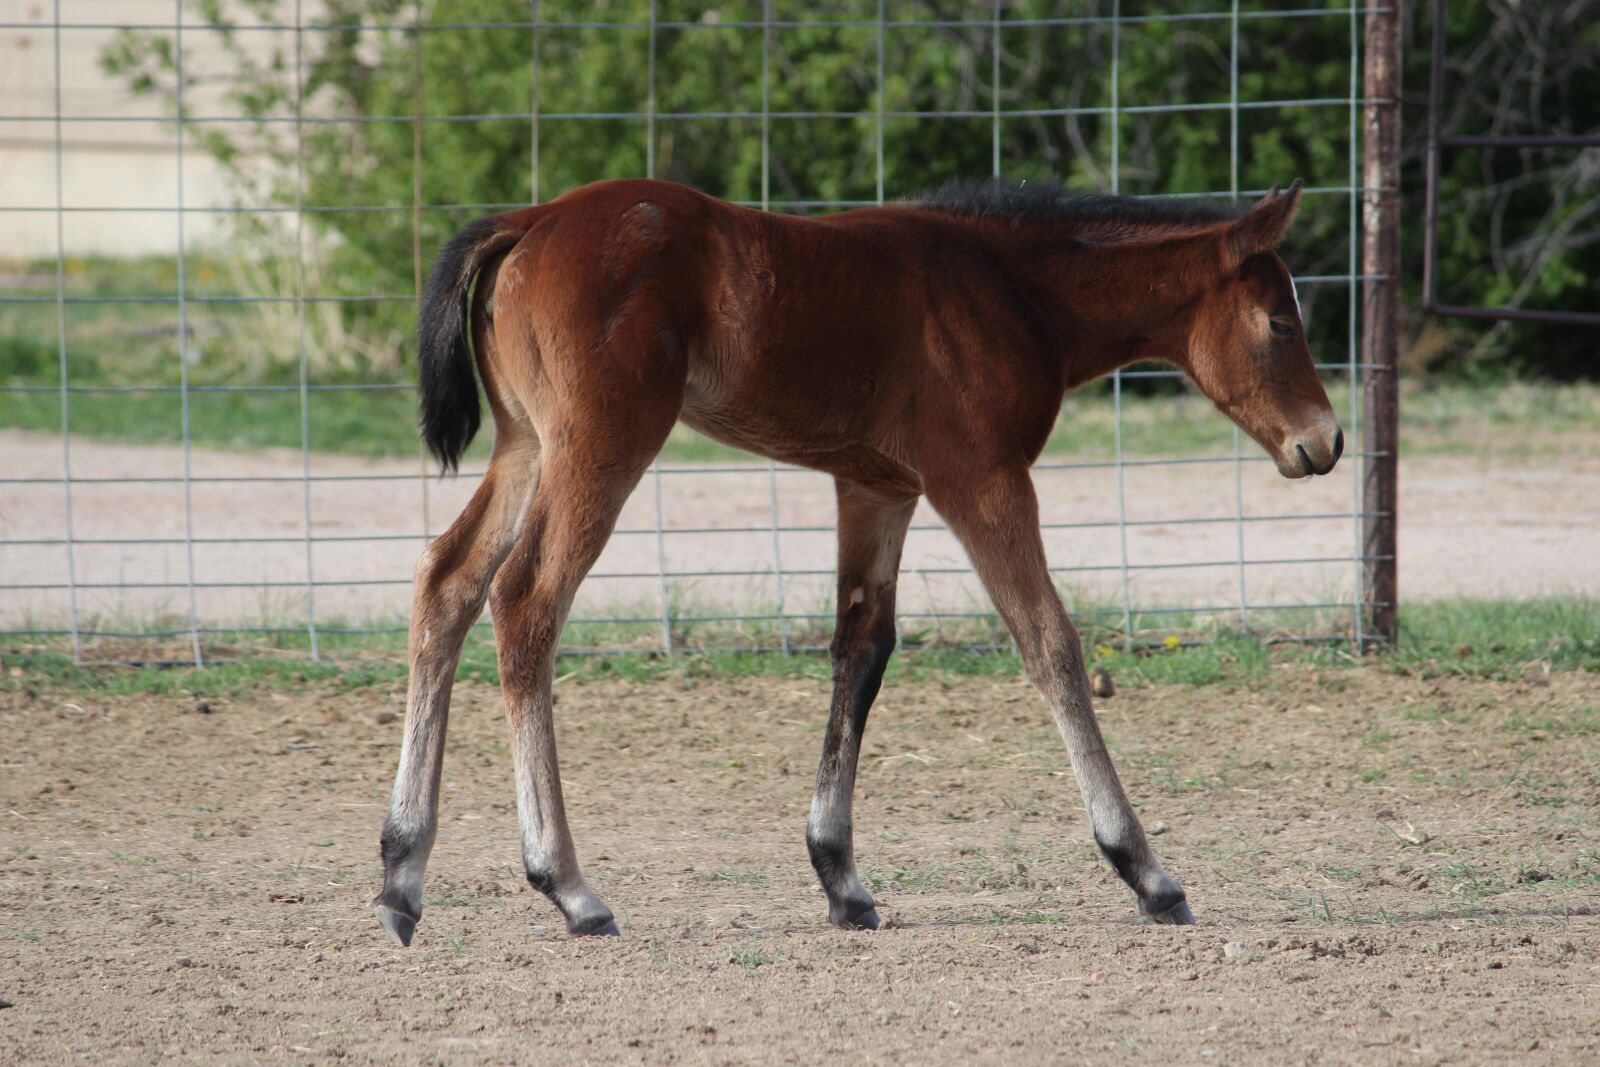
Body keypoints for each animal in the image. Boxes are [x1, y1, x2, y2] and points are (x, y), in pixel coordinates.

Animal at [371, 175, 1343, 946]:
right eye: (1279, 321)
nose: (1325, 442)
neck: (1010, 291)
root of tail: (530, 220)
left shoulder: (878, 489)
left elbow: (860, 652)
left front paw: (840, 876)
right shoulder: (981, 479)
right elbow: (1051, 644)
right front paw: (1146, 870)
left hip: (526, 445)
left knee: (447, 582)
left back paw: (401, 872)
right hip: (600, 445)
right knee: (526, 599)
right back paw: (570, 886)